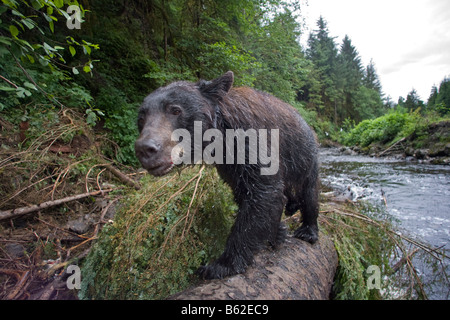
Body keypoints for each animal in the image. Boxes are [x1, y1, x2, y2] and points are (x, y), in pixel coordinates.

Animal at [134, 71, 320, 278]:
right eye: (141, 118)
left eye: (175, 110)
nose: (146, 149)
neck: (222, 139)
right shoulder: (231, 168)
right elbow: (249, 195)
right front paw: (276, 233)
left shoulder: (252, 144)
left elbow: (262, 195)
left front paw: (220, 264)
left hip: (304, 157)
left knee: (309, 193)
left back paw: (308, 230)